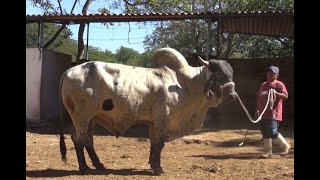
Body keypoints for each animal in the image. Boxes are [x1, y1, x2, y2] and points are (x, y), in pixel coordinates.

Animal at [58, 47, 236, 175]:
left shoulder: (153, 122)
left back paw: (98, 165)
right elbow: (159, 144)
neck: (186, 83)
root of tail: (69, 71)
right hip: (81, 117)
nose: (233, 95)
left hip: (91, 118)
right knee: (80, 139)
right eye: (219, 73)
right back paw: (84, 168)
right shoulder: (162, 119)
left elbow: (153, 143)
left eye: (231, 74)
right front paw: (158, 169)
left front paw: (152, 164)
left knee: (87, 140)